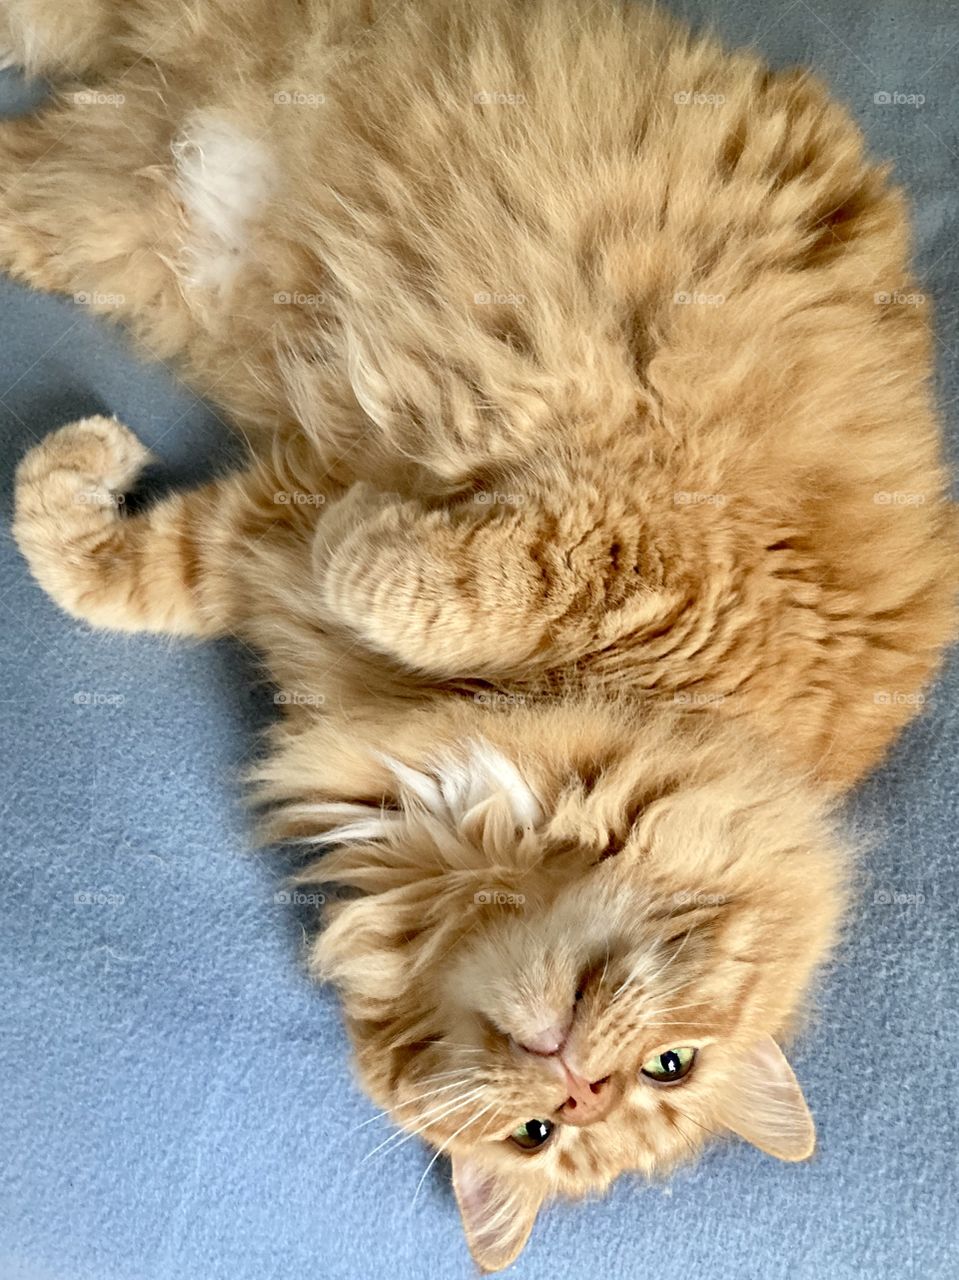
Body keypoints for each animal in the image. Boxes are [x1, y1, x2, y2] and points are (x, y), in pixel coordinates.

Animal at [7, 0, 957, 1264]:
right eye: (670, 1064)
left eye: (541, 1136)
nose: (575, 1082)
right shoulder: (639, 549)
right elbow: (441, 572)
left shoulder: (262, 543)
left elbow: (129, 567)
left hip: (83, 206)